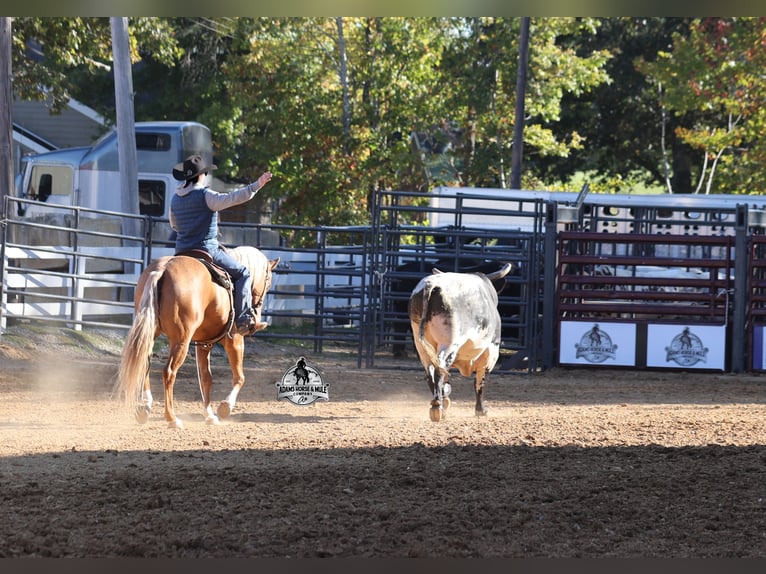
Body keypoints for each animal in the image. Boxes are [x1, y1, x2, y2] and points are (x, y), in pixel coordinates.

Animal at [115, 246, 280, 428]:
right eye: (269, 281)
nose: (256, 313)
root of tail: (162, 270)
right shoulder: (235, 339)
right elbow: (239, 377)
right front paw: (225, 407)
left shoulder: (204, 343)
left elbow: (206, 378)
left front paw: (209, 415)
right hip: (181, 341)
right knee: (169, 372)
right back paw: (172, 418)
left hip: (150, 333)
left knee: (145, 363)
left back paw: (144, 407)